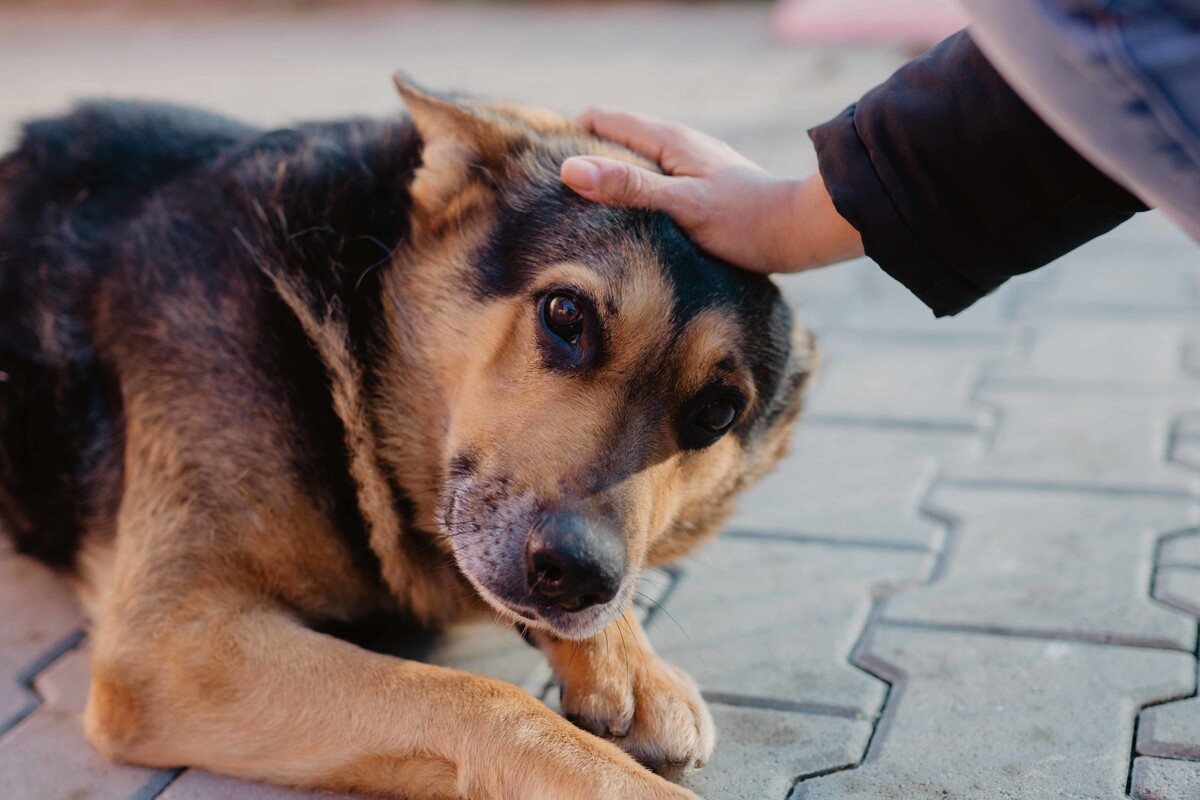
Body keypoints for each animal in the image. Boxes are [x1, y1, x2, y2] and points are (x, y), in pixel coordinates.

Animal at [0, 76, 816, 800]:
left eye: (717, 413)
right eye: (565, 314)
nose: (578, 574)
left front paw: (630, 666)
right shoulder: (176, 643)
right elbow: (487, 701)